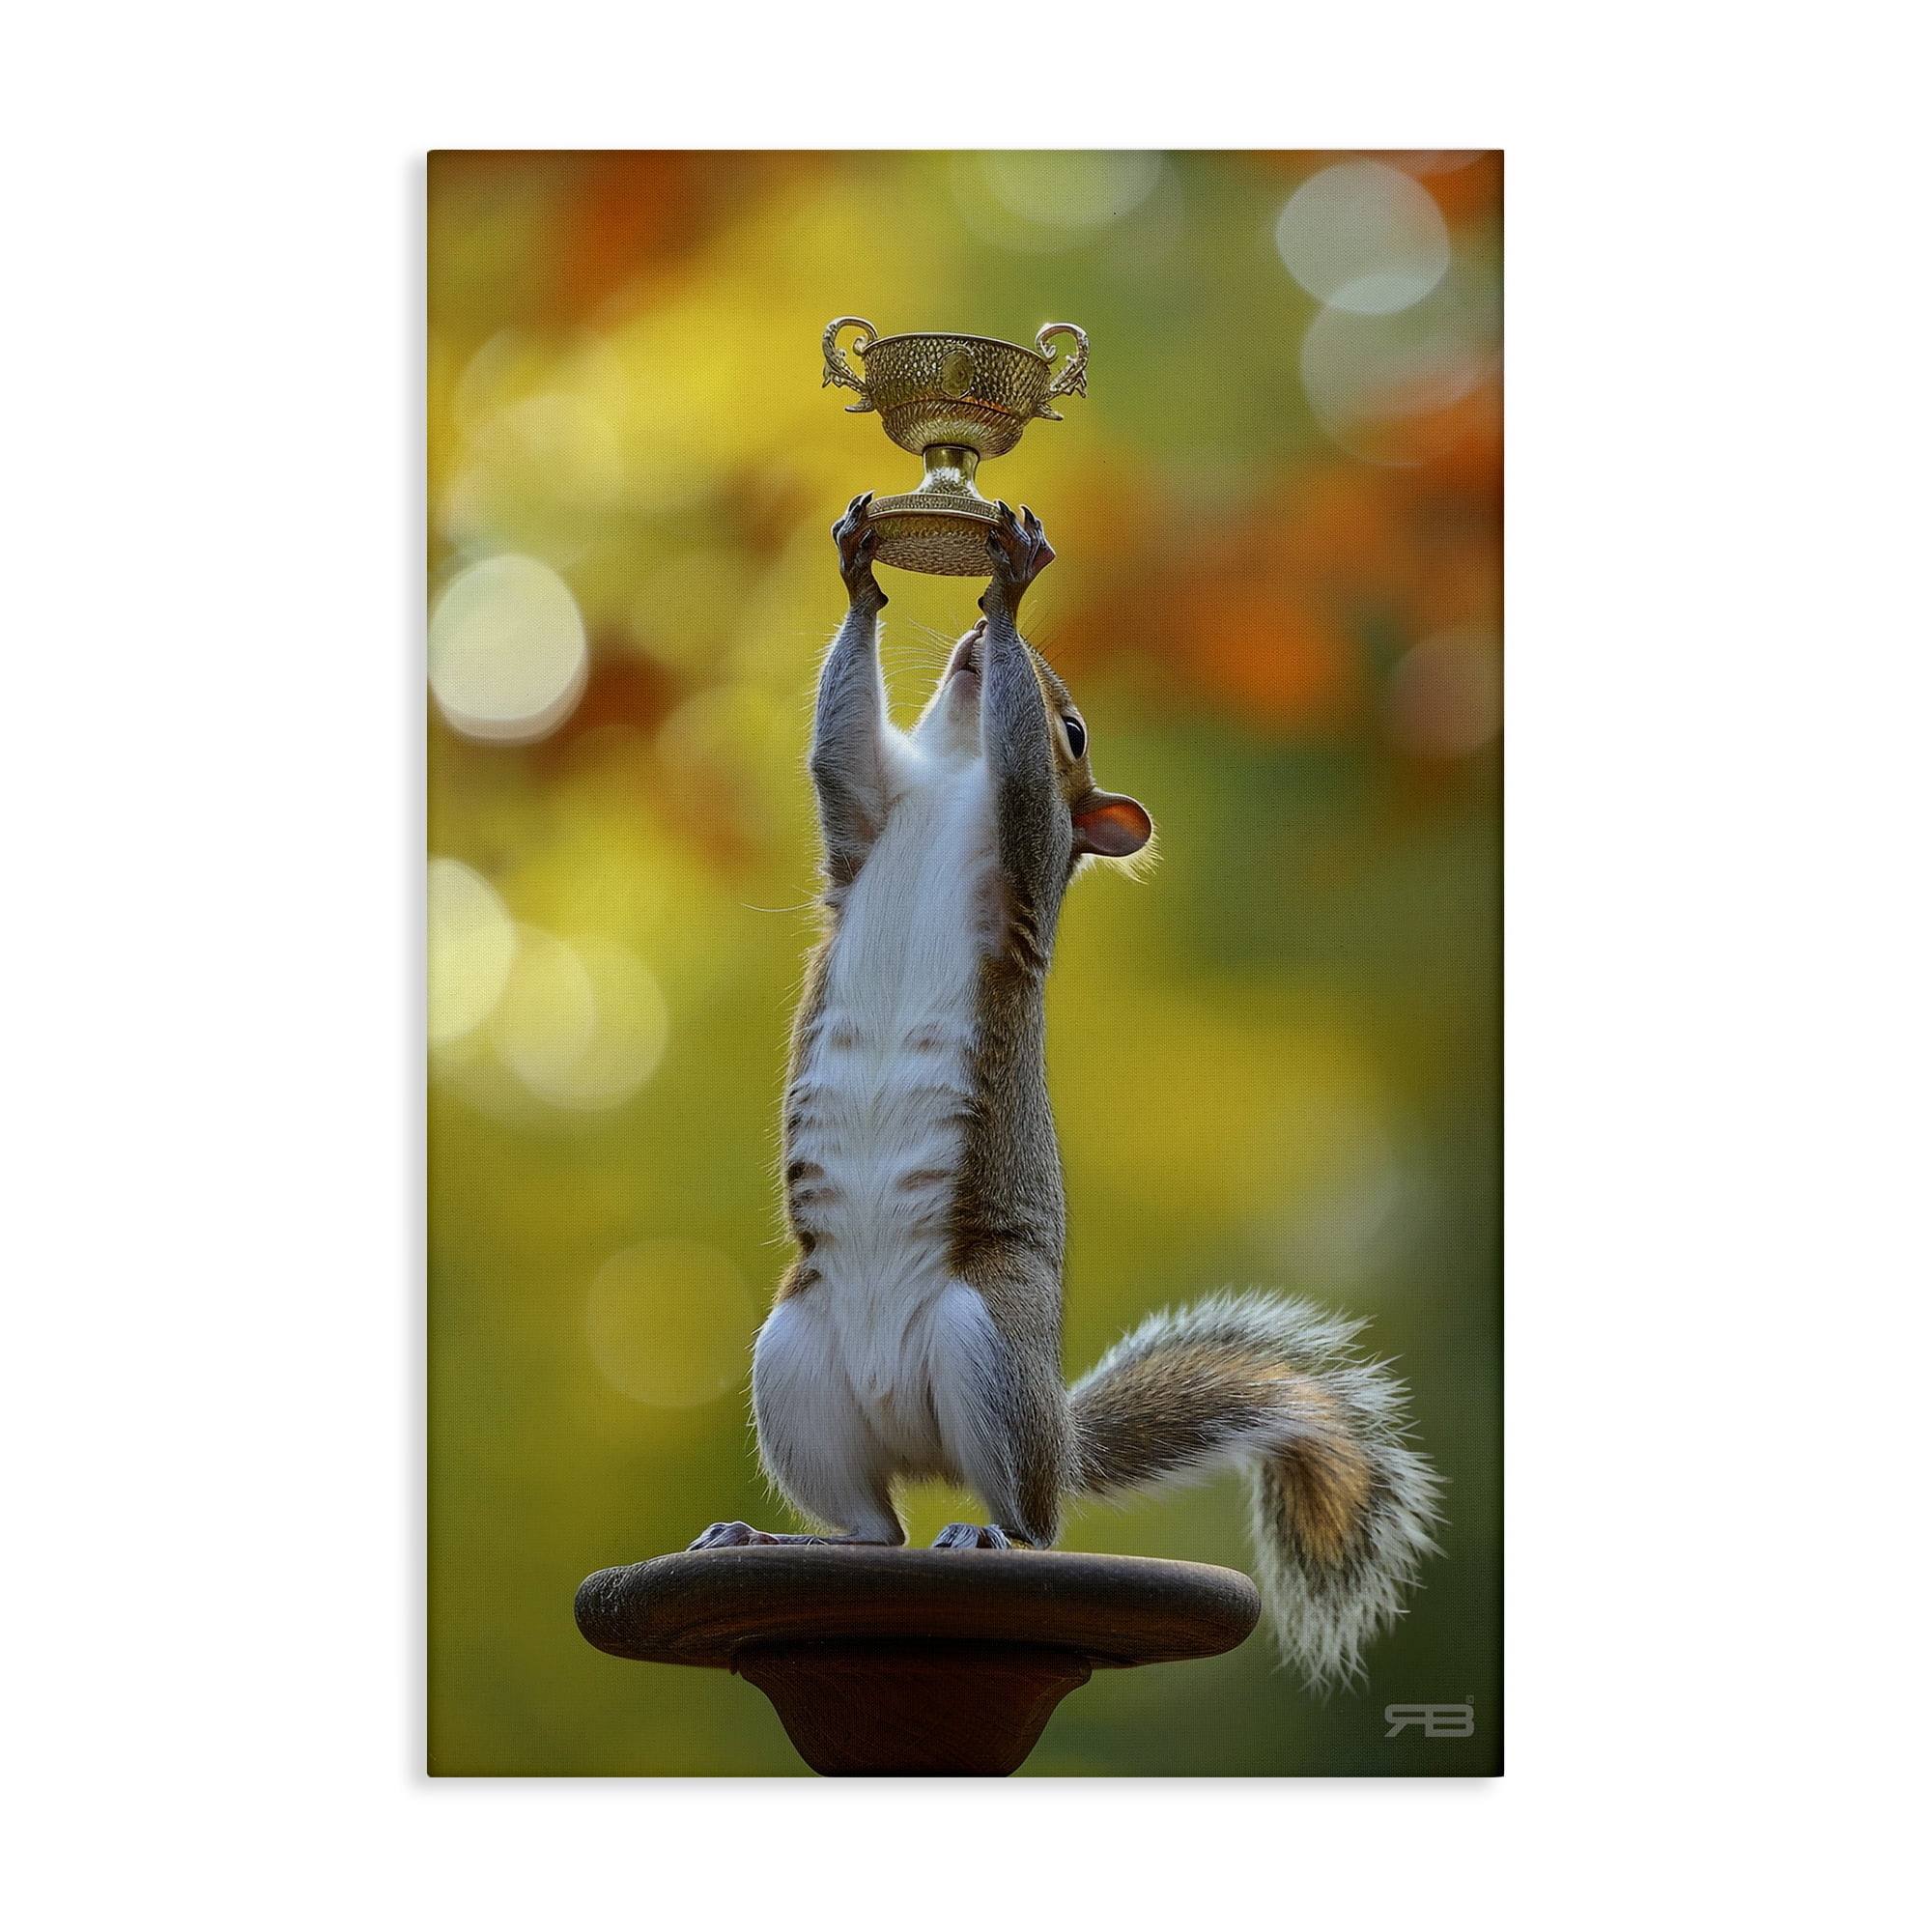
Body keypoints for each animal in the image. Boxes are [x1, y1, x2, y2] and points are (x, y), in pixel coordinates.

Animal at [689, 494, 1443, 1690]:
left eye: (1078, 731)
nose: (970, 644)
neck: (947, 779)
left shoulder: (1024, 843)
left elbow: (1017, 781)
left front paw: (1008, 591)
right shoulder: (864, 814)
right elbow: (836, 745)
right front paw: (862, 574)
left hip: (985, 1342)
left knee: (1026, 1526)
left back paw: (987, 1534)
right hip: (794, 1366)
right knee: (873, 1530)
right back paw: (772, 1537)